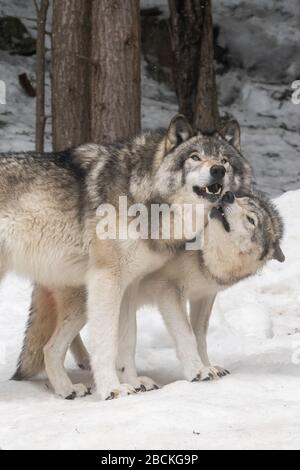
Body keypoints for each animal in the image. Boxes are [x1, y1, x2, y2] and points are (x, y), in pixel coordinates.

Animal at [0, 115, 248, 398]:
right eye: (195, 157)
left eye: (224, 160)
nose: (217, 170)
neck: (141, 194)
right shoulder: (107, 280)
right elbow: (107, 343)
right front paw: (112, 389)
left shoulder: (129, 284)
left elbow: (128, 339)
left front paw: (134, 382)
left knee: (49, 349)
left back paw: (67, 389)